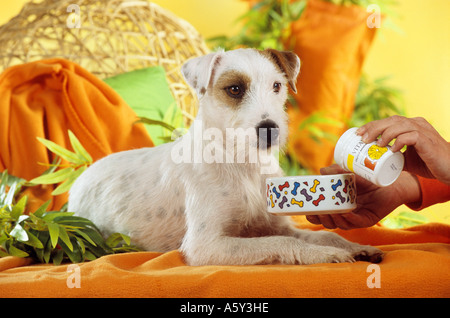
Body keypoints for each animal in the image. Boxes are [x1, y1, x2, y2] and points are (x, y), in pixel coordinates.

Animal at [69, 47, 384, 266]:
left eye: (277, 86)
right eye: (234, 89)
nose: (270, 129)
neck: (243, 164)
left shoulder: (274, 222)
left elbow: (321, 234)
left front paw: (355, 247)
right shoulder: (206, 245)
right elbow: (280, 242)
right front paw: (324, 254)